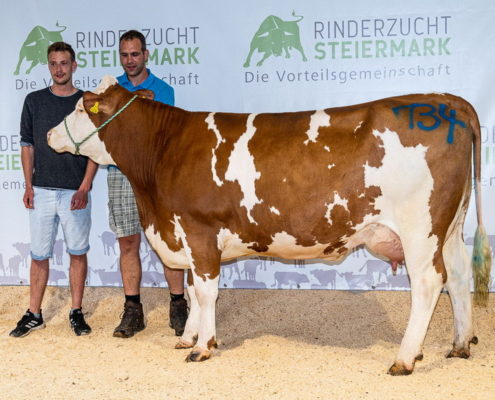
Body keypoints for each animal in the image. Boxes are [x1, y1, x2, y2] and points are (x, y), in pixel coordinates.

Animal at [48, 76, 490, 376]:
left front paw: (202, 346)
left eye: (82, 107)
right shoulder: (188, 237)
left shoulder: (199, 230)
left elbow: (205, 292)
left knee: (429, 282)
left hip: (420, 228)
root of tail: (443, 99)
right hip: (450, 225)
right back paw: (460, 344)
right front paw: (188, 336)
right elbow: (192, 289)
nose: (50, 133)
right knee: (459, 275)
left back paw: (404, 358)